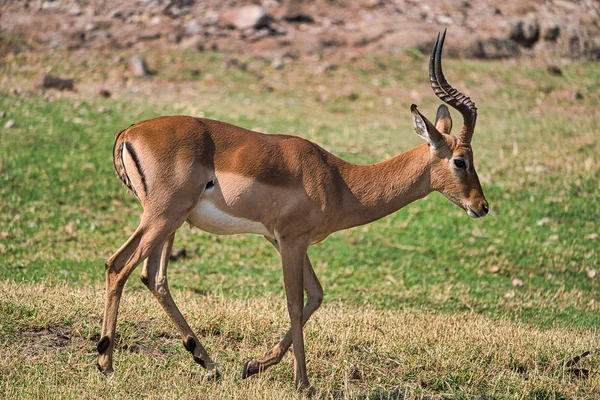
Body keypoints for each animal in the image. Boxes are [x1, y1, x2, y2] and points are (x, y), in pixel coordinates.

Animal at [97, 32, 488, 390]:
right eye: (460, 160)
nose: (481, 206)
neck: (338, 180)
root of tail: (128, 132)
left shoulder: (285, 241)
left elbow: (316, 295)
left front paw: (253, 365)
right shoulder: (291, 241)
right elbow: (295, 303)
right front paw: (303, 383)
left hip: (169, 223)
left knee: (153, 277)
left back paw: (207, 363)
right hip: (163, 216)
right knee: (118, 265)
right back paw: (106, 362)